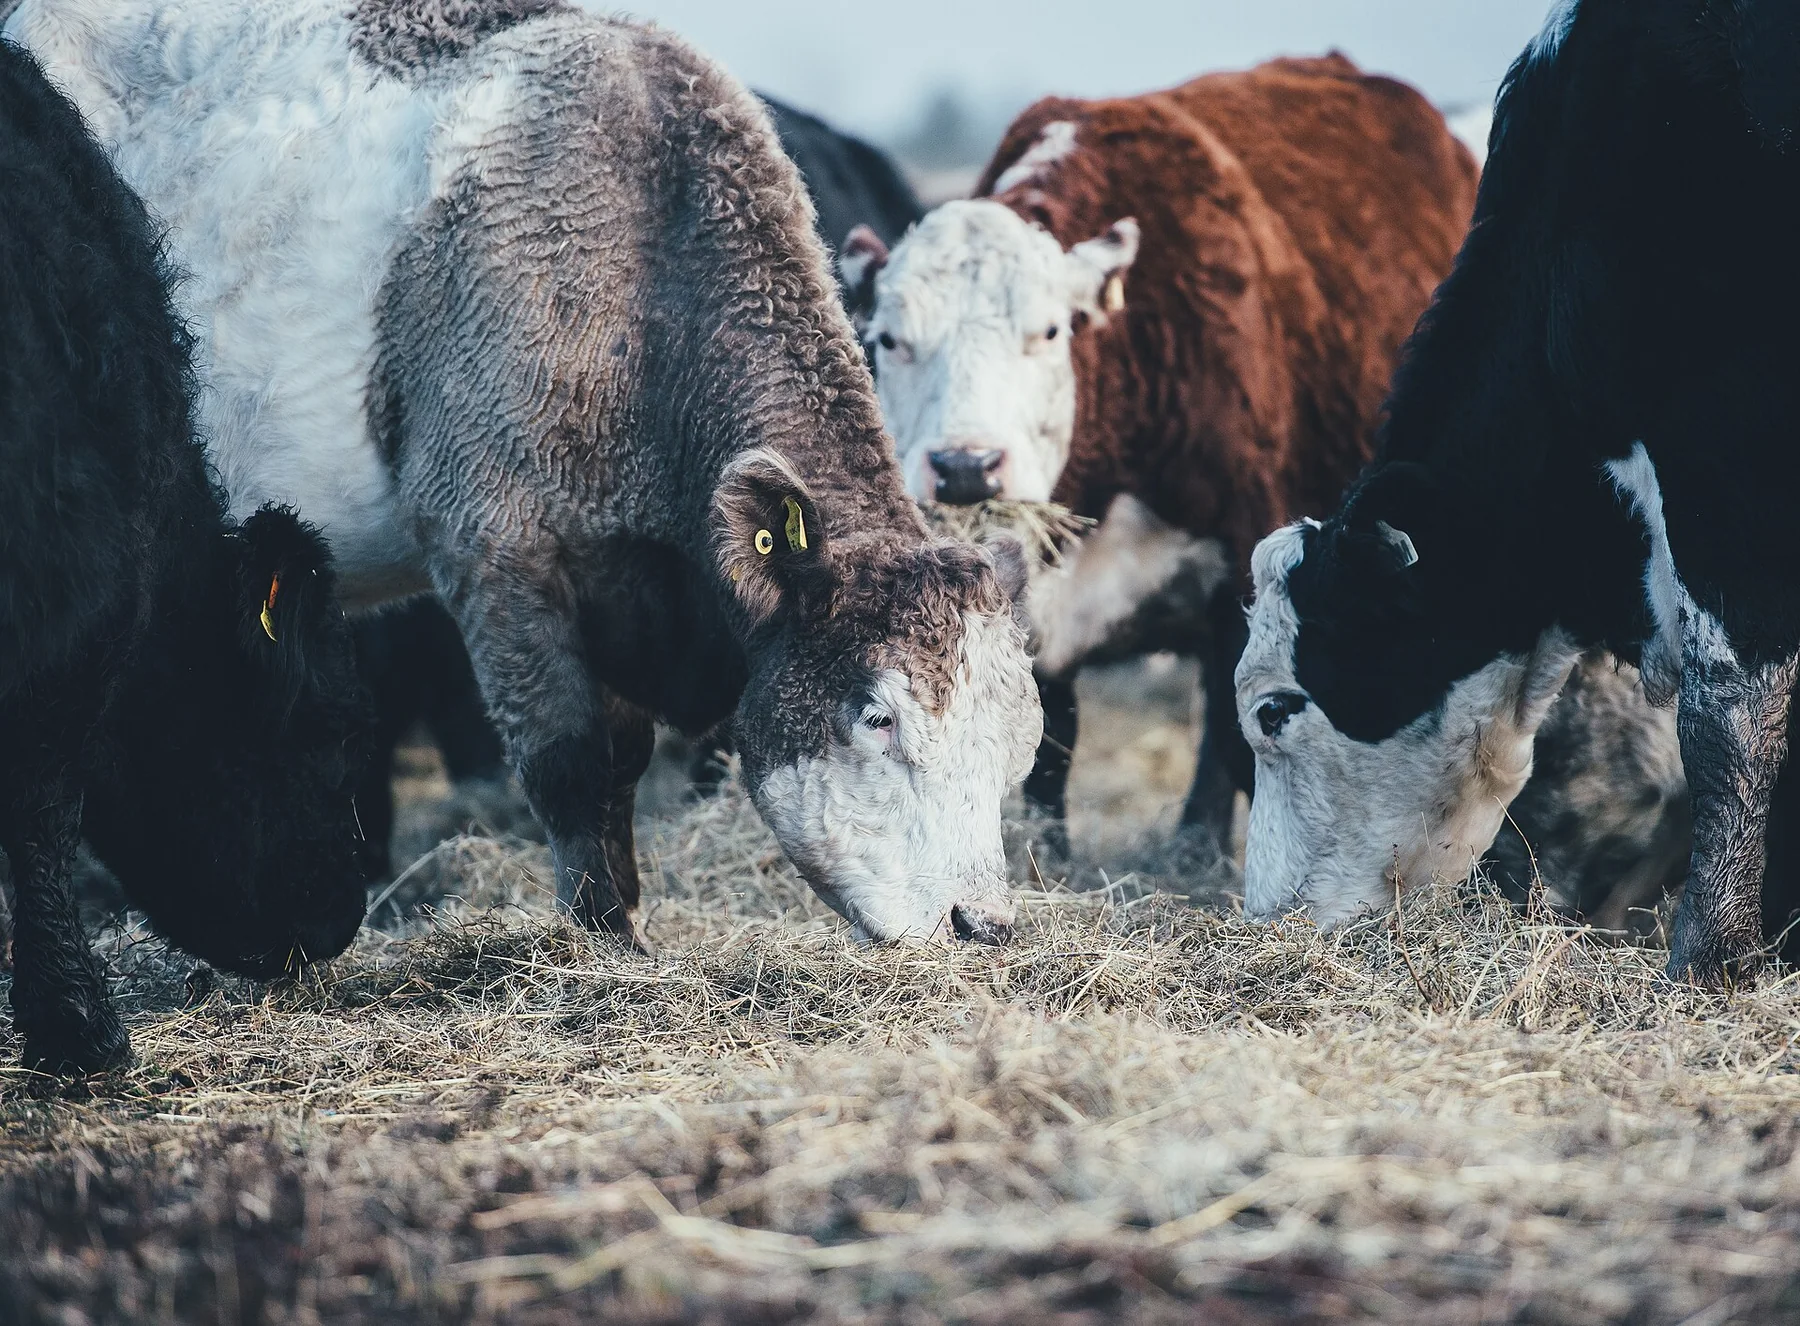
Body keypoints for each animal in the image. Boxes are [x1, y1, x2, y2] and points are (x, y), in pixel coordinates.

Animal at [8, 0, 1042, 949]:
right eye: (876, 716)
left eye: (1018, 739)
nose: (983, 922)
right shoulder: (495, 553)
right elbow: (569, 763)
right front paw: (604, 943)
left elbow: (620, 765)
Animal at [839, 55, 1480, 857]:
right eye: (890, 340)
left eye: (1049, 331)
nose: (965, 468)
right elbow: (1049, 739)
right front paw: (1046, 851)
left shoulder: (1247, 563)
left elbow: (1239, 729)